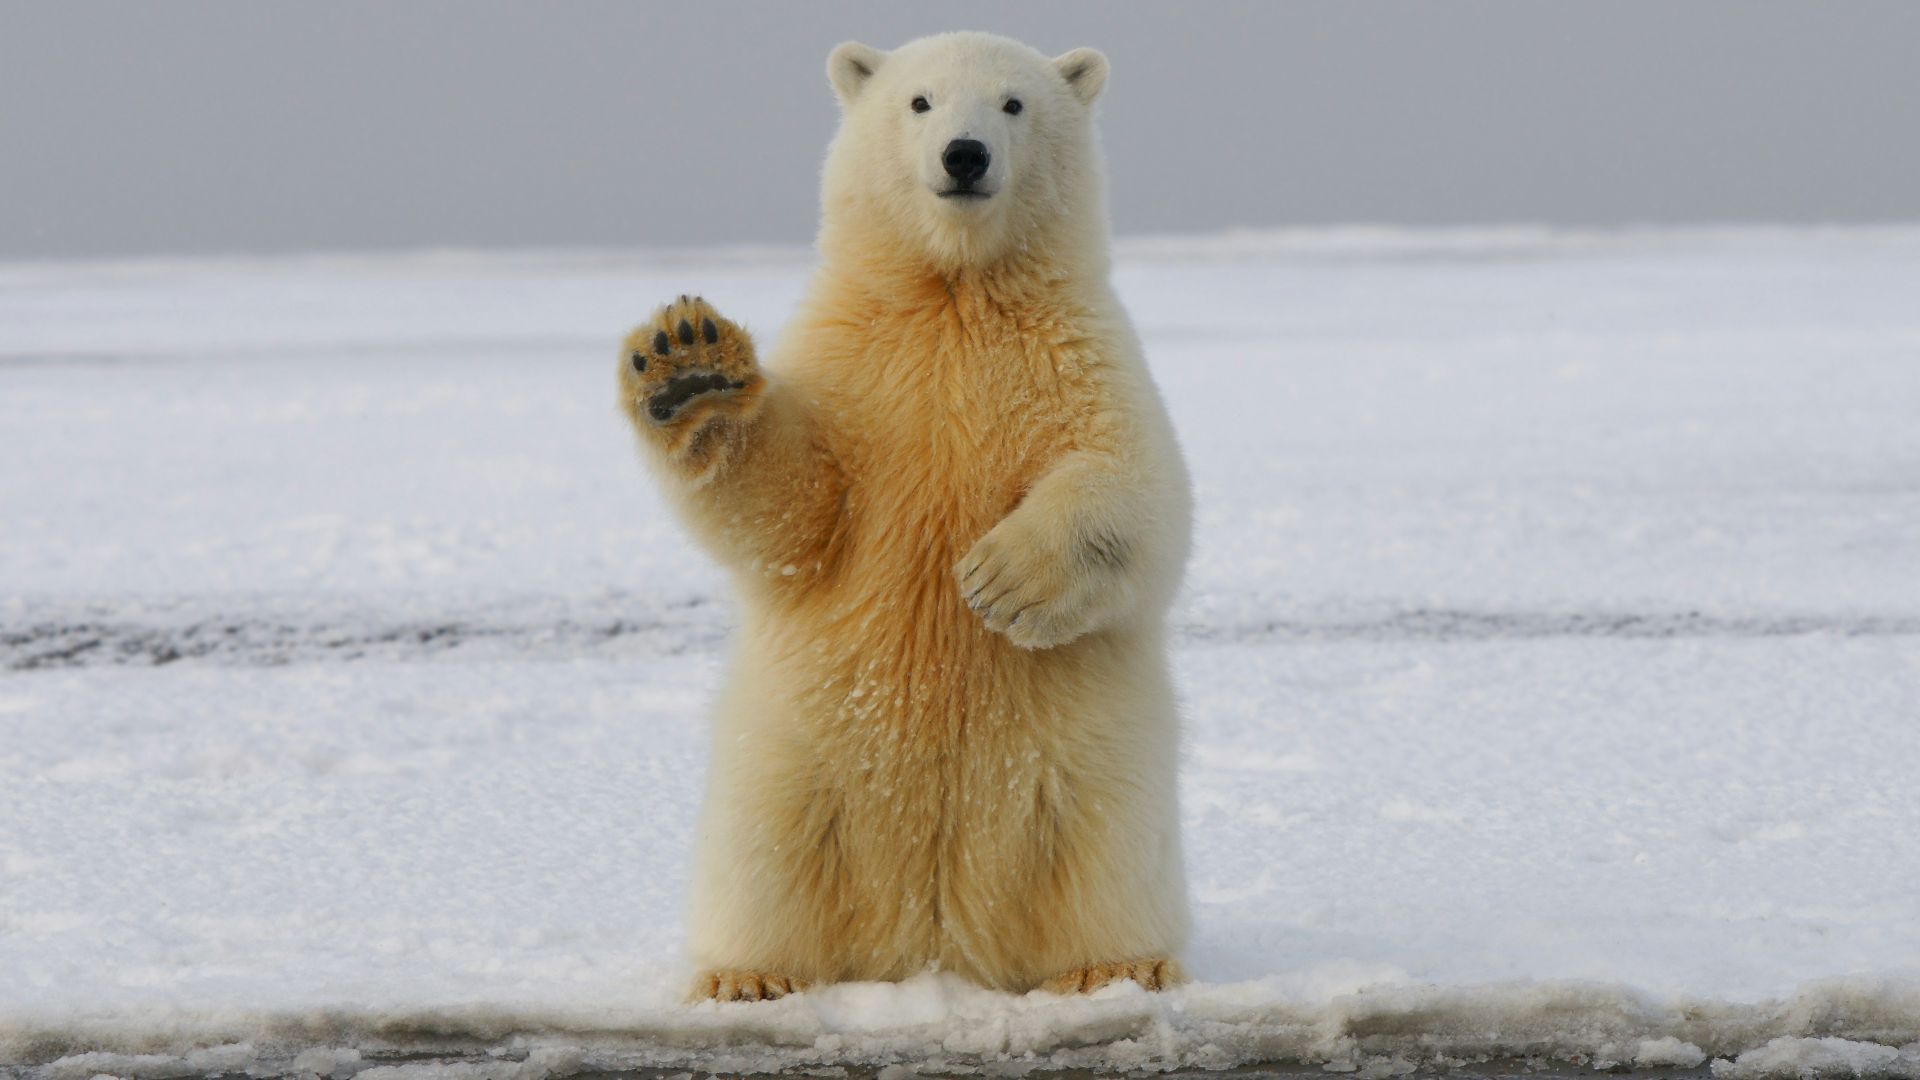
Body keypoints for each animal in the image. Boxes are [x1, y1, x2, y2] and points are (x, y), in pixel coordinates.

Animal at [617, 31, 1192, 1001]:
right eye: (919, 101)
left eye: (1012, 103)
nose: (964, 156)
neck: (954, 292)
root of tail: (932, 942)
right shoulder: (857, 366)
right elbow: (795, 510)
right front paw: (688, 366)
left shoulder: (1080, 354)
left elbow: (1137, 488)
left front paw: (1000, 580)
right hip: (792, 759)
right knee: (765, 856)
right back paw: (747, 976)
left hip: (1091, 765)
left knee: (1104, 852)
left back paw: (1118, 966)